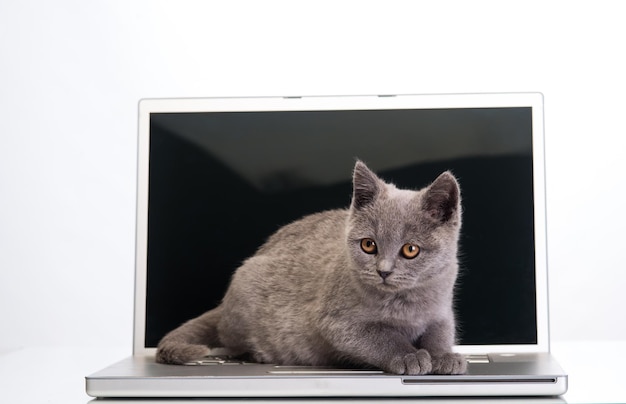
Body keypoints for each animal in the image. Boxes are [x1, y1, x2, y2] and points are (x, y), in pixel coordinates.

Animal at [158, 161, 466, 376]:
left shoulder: (442, 307)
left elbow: (440, 331)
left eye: (410, 250)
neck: (407, 304)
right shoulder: (337, 322)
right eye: (369, 245)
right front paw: (407, 355)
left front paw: (443, 356)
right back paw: (259, 354)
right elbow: (379, 335)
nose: (383, 270)